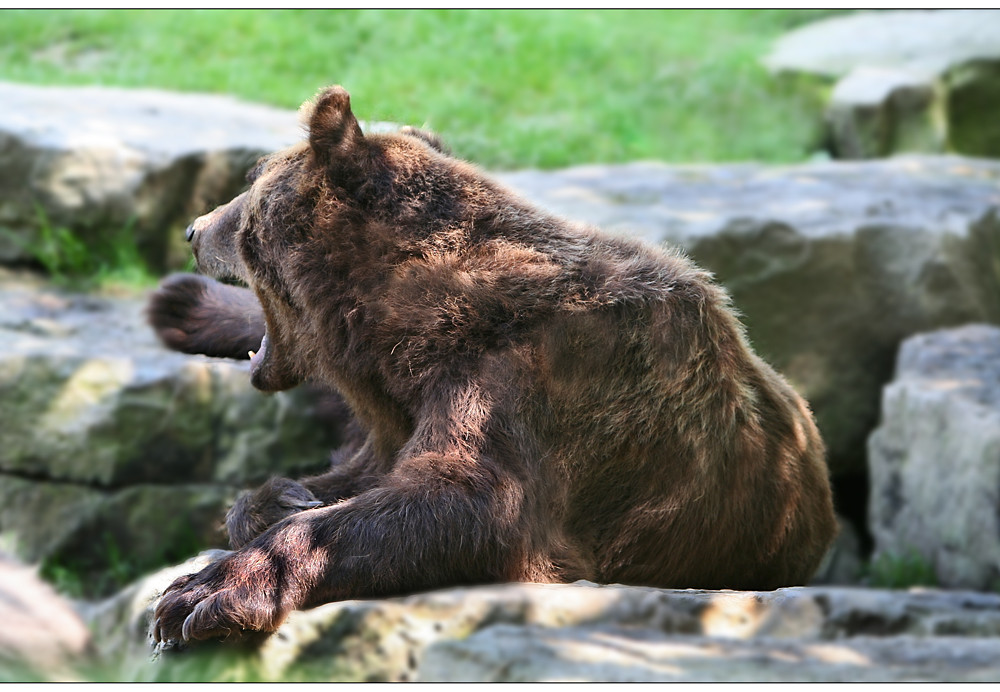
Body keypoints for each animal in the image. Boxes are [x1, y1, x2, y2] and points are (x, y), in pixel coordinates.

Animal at [148, 85, 836, 644]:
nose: (194, 228)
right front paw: (283, 498)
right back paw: (183, 306)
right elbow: (354, 473)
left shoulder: (530, 386)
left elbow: (468, 505)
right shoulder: (405, 410)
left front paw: (200, 592)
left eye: (250, 183)